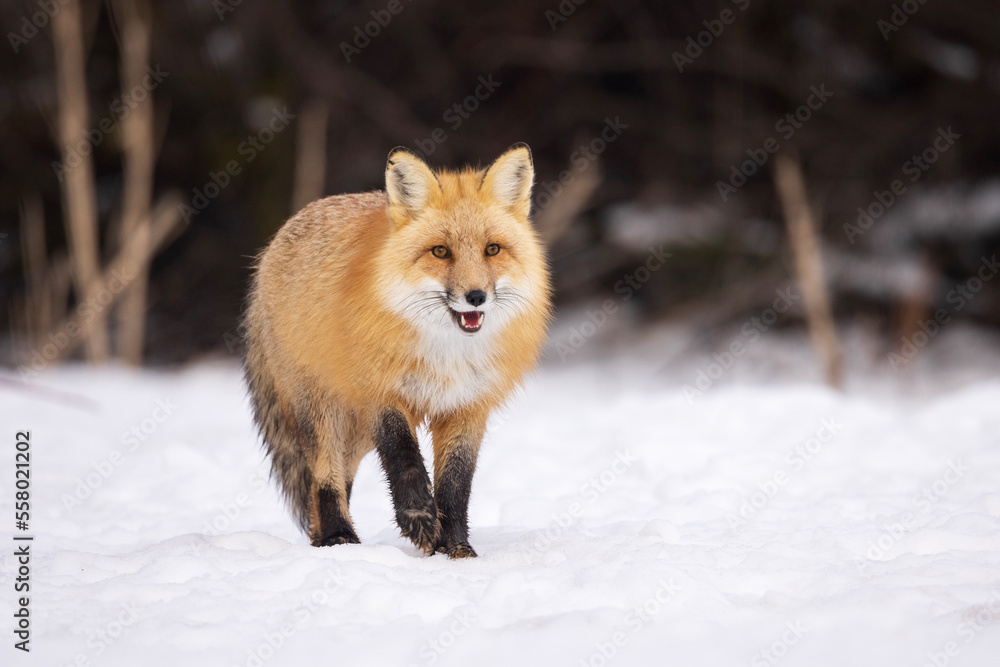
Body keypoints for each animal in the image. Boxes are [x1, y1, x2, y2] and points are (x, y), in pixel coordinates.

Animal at [242, 143, 552, 558]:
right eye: (440, 252)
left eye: (492, 249)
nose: (476, 297)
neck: (448, 353)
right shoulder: (379, 392)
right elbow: (402, 456)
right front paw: (419, 517)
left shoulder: (468, 406)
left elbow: (457, 484)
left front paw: (455, 548)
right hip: (324, 410)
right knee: (324, 477)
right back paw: (338, 537)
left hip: (354, 432)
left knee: (337, 479)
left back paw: (326, 537)